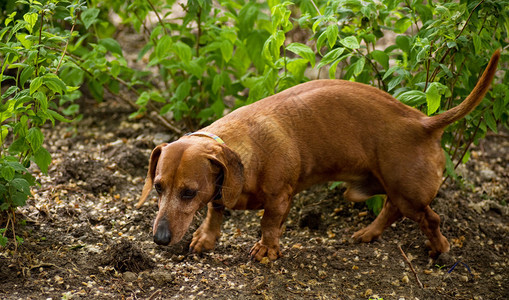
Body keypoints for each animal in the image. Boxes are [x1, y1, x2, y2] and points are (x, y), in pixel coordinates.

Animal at [137, 50, 498, 262]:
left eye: (189, 193)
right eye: (158, 187)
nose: (159, 239)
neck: (241, 147)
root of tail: (421, 121)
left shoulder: (280, 198)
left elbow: (269, 223)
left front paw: (266, 249)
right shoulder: (218, 194)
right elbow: (215, 211)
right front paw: (206, 238)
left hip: (409, 193)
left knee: (429, 219)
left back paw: (440, 250)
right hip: (385, 188)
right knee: (391, 209)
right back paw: (368, 234)